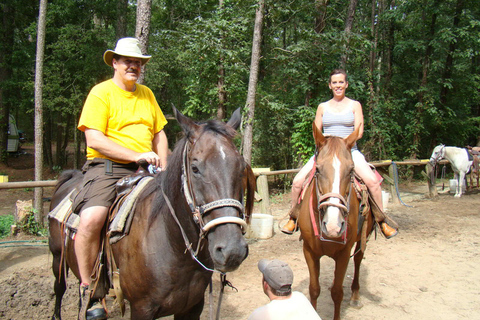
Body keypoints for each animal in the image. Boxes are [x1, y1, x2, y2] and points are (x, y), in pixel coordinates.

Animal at [48, 108, 255, 320]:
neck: (173, 246)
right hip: (58, 256)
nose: (232, 251)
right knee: (61, 287)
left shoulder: (192, 307)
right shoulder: (142, 308)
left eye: (241, 167)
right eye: (195, 168)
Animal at [298, 122, 376, 320]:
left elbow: (337, 292)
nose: (333, 227)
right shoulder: (309, 251)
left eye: (351, 170)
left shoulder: (343, 254)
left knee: (358, 260)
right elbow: (314, 289)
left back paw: (355, 296)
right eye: (318, 169)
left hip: (362, 240)